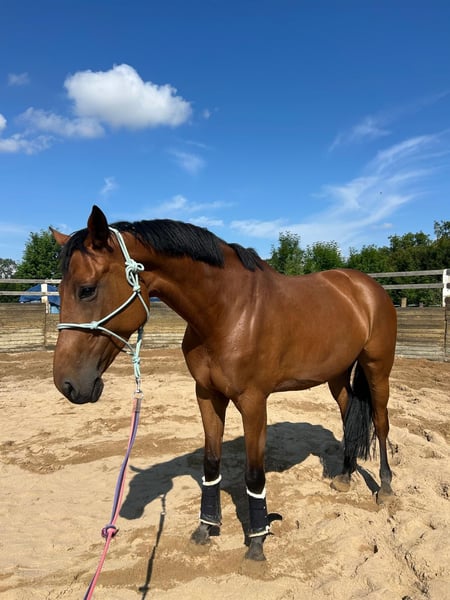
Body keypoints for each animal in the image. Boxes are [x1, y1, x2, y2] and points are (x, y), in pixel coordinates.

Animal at [52, 205, 397, 561]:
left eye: (87, 289)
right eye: (58, 292)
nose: (67, 384)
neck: (229, 312)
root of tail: (366, 287)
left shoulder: (253, 401)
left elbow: (254, 473)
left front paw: (257, 542)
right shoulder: (207, 395)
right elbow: (210, 462)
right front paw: (206, 527)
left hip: (377, 368)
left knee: (380, 422)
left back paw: (385, 488)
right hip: (337, 375)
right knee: (348, 415)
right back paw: (344, 476)